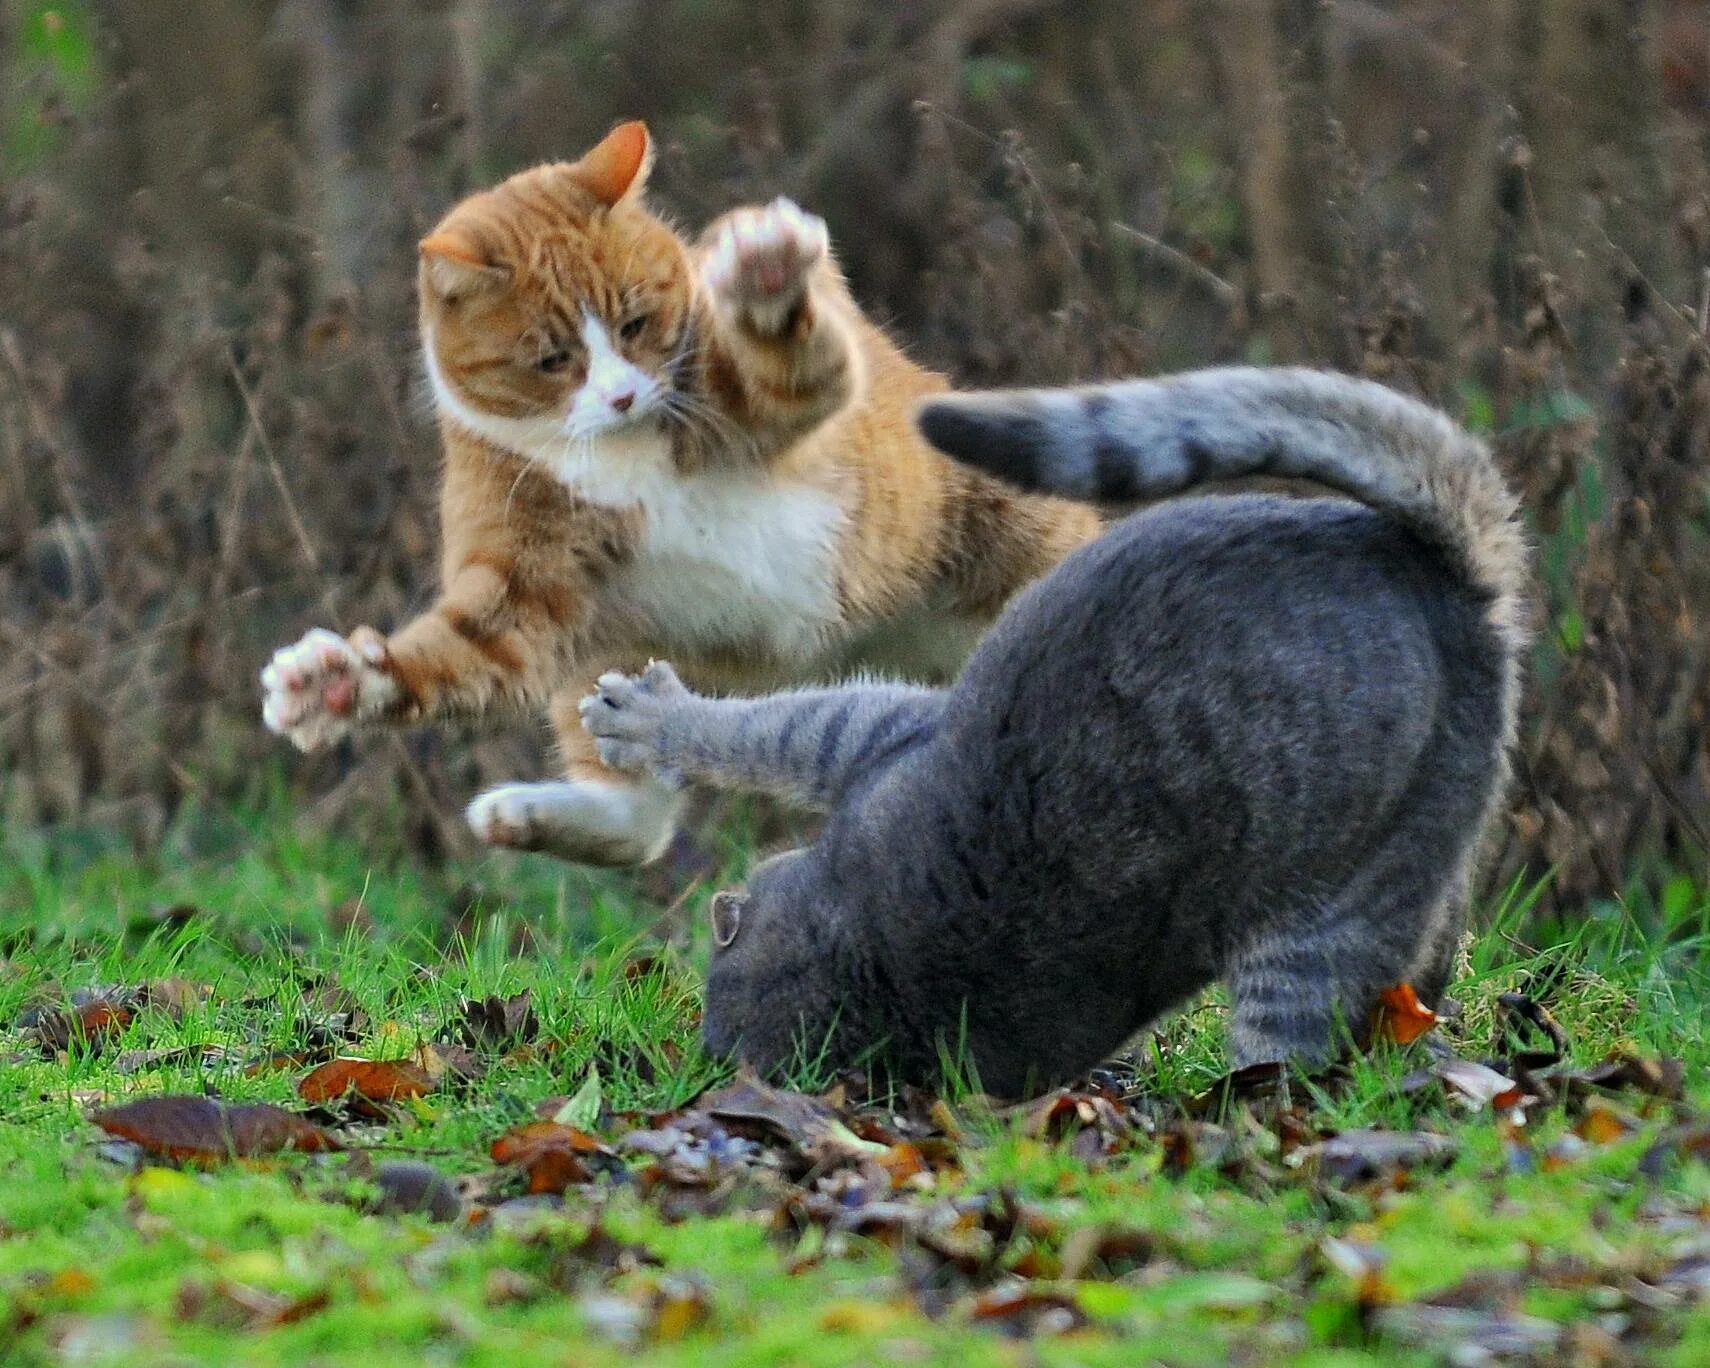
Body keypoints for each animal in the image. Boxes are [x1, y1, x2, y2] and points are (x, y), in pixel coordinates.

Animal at [261, 120, 1101, 865]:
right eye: (552, 360)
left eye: (634, 323)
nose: (624, 396)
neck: (621, 453)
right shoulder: (524, 579)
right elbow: (466, 648)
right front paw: (335, 685)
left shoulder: (775, 394)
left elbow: (791, 357)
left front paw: (764, 273)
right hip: (613, 665)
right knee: (640, 822)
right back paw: (532, 814)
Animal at [581, 369, 1532, 1094]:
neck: (871, 950)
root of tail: (1454, 580)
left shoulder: (873, 733)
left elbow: (758, 729)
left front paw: (646, 715)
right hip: (1423, 845)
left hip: (1318, 927)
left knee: (1295, 1044)